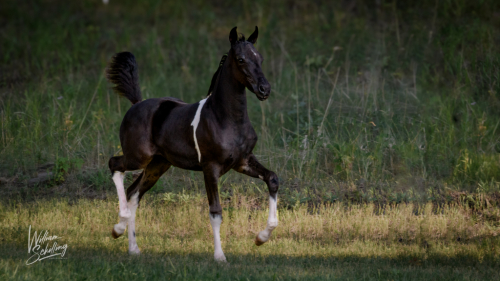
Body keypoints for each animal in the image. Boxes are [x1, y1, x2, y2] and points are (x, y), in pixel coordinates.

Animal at [106, 25, 280, 260]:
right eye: (241, 59)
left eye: (259, 58)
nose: (264, 89)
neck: (225, 118)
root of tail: (136, 104)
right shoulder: (210, 167)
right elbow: (215, 211)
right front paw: (219, 256)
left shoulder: (243, 162)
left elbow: (272, 178)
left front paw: (261, 238)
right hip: (137, 157)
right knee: (115, 165)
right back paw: (118, 227)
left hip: (157, 165)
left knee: (134, 193)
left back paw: (132, 246)